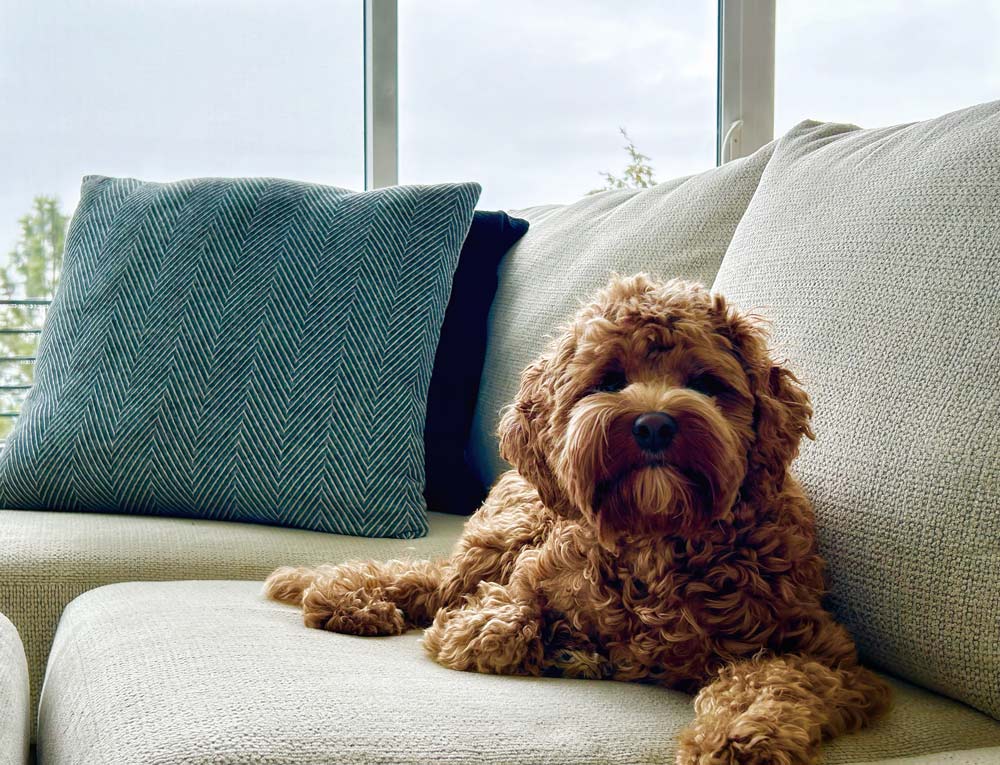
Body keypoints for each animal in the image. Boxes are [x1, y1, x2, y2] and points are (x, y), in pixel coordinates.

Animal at [266, 276, 892, 764]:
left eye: (706, 384)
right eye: (608, 380)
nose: (654, 425)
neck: (656, 537)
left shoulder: (827, 655)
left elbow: (774, 681)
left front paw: (739, 737)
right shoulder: (505, 599)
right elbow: (495, 624)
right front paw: (563, 644)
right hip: (506, 536)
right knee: (431, 582)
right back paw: (344, 598)